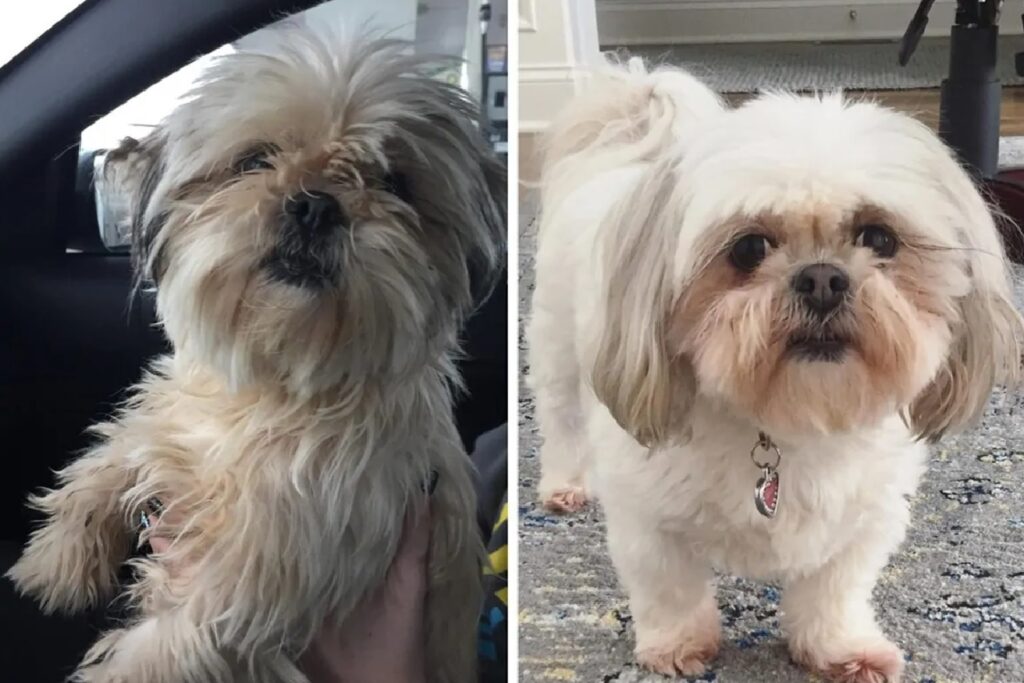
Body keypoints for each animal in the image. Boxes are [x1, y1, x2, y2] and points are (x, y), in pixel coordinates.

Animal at [8, 24, 503, 679]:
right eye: (253, 161)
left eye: (394, 183)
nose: (315, 203)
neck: (276, 380)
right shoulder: (170, 422)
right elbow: (111, 458)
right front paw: (56, 559)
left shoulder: (246, 583)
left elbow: (160, 647)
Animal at [528, 60, 1024, 683]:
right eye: (748, 248)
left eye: (879, 237)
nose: (822, 278)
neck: (791, 417)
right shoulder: (648, 518)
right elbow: (669, 588)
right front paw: (677, 647)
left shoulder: (863, 519)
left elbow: (834, 593)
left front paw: (841, 649)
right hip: (557, 354)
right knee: (561, 422)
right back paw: (564, 486)